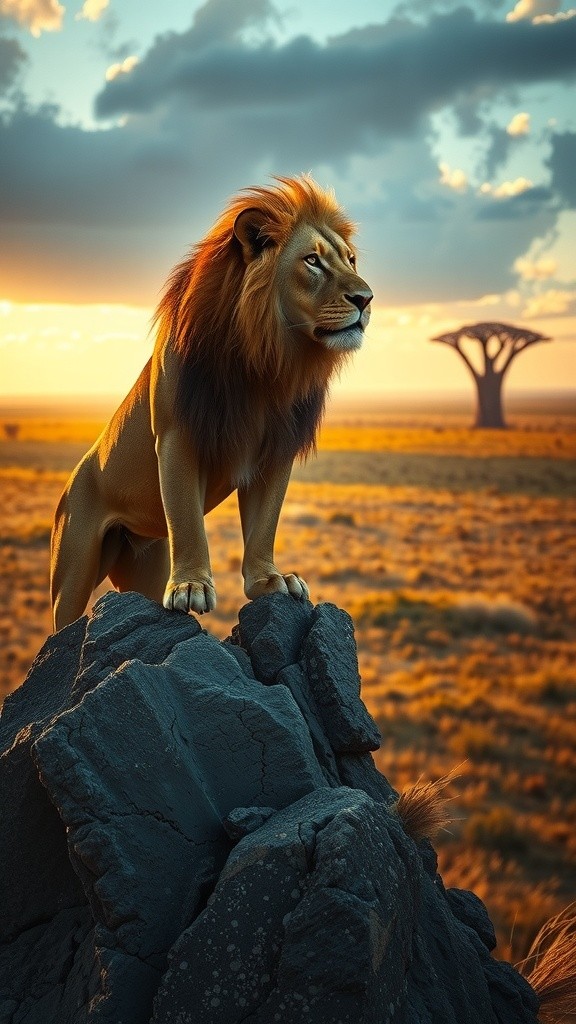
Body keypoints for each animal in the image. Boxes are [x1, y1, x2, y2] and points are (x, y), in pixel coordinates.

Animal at [50, 175, 373, 631]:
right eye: (312, 261)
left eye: (351, 260)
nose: (366, 299)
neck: (267, 360)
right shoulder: (177, 437)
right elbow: (187, 519)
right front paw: (190, 586)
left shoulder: (277, 449)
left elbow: (264, 524)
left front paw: (270, 581)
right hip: (74, 566)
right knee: (62, 622)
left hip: (143, 564)